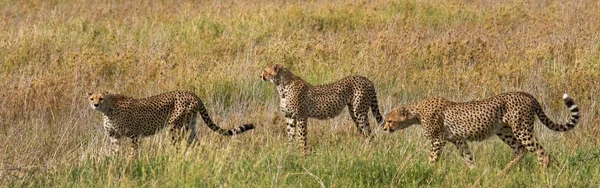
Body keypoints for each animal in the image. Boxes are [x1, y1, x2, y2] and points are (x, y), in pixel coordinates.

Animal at [88, 90, 255, 155]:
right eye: (92, 98)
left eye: (101, 98)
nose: (95, 105)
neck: (108, 110)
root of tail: (191, 93)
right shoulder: (114, 136)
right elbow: (115, 151)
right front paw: (115, 164)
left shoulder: (134, 135)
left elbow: (132, 152)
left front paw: (130, 163)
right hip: (189, 126)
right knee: (196, 143)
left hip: (175, 127)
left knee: (178, 145)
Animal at [384, 91, 580, 173]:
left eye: (389, 120)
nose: (384, 127)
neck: (416, 113)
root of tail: (527, 94)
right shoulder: (458, 140)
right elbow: (468, 157)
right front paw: (475, 172)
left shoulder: (438, 140)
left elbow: (432, 158)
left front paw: (429, 169)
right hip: (504, 131)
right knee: (520, 149)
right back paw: (503, 172)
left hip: (521, 129)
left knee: (540, 151)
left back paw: (542, 173)